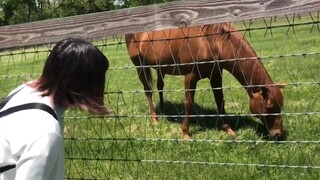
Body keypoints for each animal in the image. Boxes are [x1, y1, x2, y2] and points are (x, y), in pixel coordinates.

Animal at [124, 22, 284, 141]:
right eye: (269, 107)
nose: (278, 134)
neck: (210, 41)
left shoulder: (216, 75)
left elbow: (220, 101)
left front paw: (229, 130)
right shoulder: (190, 76)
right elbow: (189, 103)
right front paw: (185, 133)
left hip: (159, 68)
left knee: (160, 87)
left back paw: (163, 110)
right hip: (140, 66)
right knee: (148, 91)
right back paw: (154, 119)